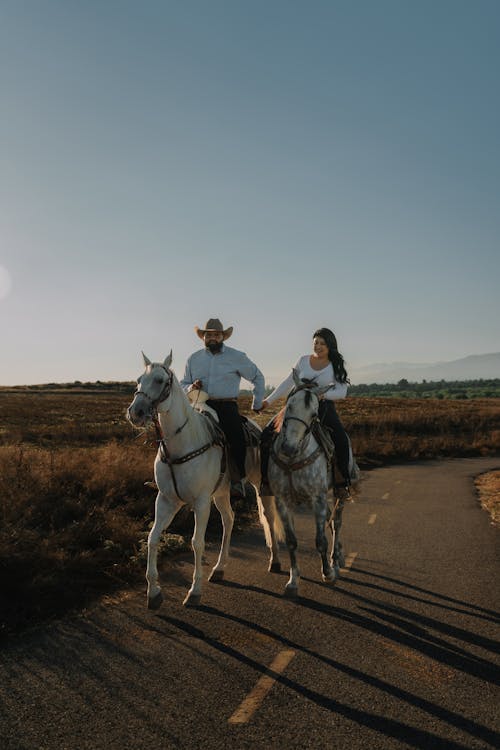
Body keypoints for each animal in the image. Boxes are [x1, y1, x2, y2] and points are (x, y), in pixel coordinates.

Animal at [126, 354, 282, 612]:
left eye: (159, 380)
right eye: (139, 379)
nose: (135, 412)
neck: (182, 444)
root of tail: (258, 428)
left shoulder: (200, 502)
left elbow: (197, 543)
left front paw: (194, 592)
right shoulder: (166, 500)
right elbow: (152, 538)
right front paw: (154, 592)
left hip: (260, 486)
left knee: (268, 518)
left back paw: (275, 561)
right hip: (221, 494)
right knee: (229, 520)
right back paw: (219, 568)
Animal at [268, 374, 350, 604]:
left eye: (314, 414)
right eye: (288, 406)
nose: (288, 448)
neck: (293, 459)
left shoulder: (317, 498)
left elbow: (320, 540)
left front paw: (328, 573)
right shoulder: (282, 501)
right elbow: (291, 541)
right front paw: (293, 582)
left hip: (338, 492)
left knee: (337, 523)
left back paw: (335, 562)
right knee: (331, 520)